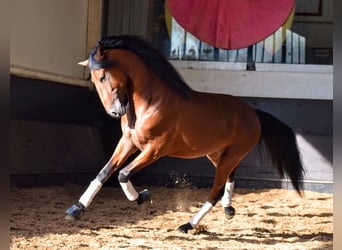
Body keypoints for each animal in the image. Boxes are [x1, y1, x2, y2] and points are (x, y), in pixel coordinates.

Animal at [65, 34, 304, 232]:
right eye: (94, 79)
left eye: (104, 76)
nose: (115, 112)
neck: (151, 102)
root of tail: (253, 113)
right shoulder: (128, 142)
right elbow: (104, 172)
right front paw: (76, 210)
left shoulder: (156, 149)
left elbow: (123, 173)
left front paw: (142, 197)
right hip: (217, 154)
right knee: (229, 177)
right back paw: (228, 210)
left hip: (231, 154)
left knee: (215, 191)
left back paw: (189, 225)